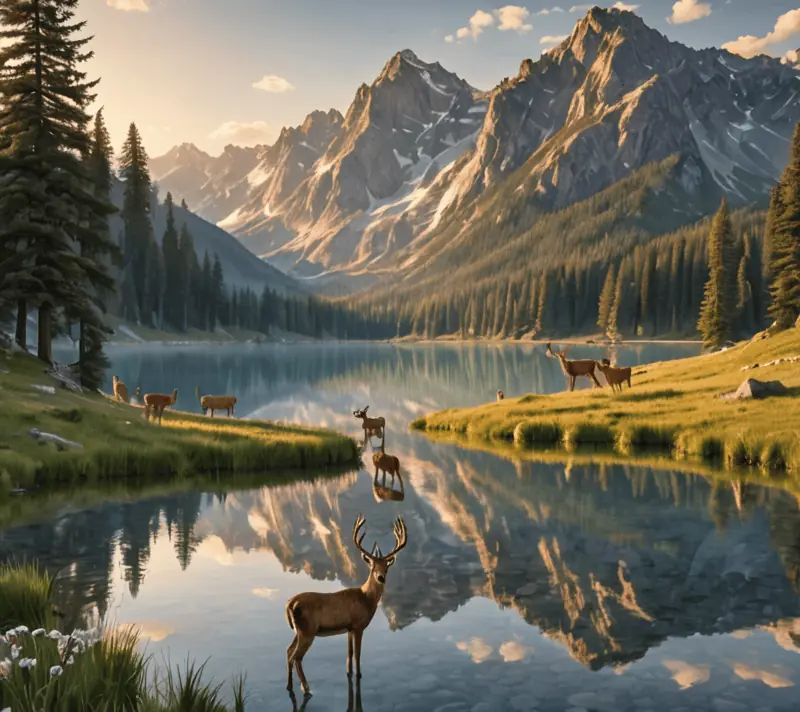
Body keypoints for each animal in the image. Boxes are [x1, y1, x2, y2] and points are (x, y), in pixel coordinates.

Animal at [285, 515, 408, 698]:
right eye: (372, 566)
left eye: (386, 566)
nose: (381, 577)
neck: (366, 598)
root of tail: (290, 604)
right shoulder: (358, 625)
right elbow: (357, 654)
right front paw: (359, 675)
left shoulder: (349, 628)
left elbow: (349, 654)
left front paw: (349, 673)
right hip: (308, 630)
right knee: (297, 656)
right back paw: (307, 689)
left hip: (299, 630)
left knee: (288, 652)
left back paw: (289, 686)